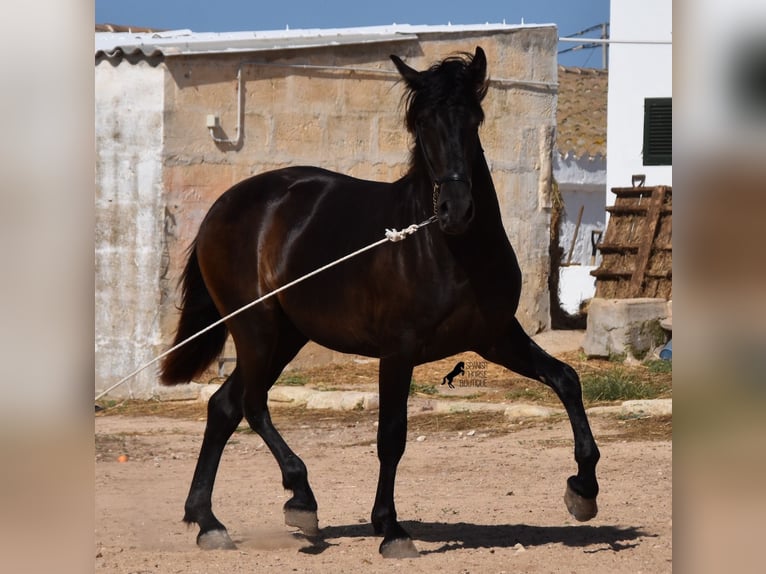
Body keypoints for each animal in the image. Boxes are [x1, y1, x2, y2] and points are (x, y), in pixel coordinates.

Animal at [160, 47, 600, 560]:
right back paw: (299, 499)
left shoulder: (495, 337)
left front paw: (583, 490)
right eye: (423, 124)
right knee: (251, 404)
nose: (456, 210)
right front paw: (391, 529)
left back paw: (208, 521)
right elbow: (391, 436)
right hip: (256, 328)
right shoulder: (398, 351)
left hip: (285, 336)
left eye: (473, 119)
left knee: (225, 407)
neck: (447, 249)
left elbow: (566, 380)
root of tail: (223, 206)